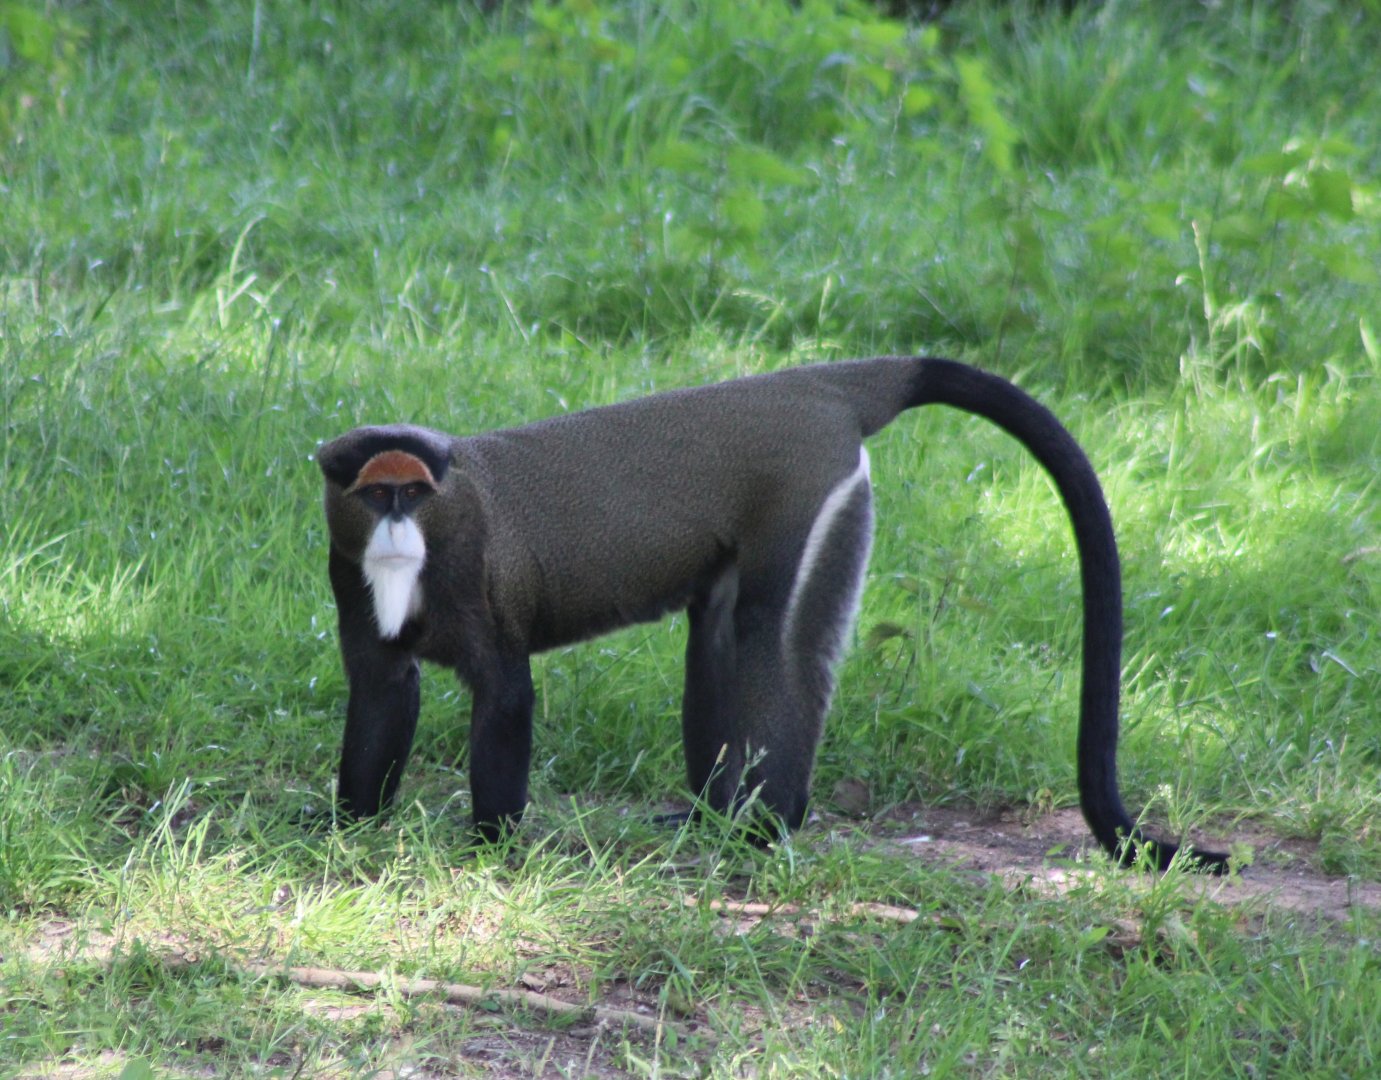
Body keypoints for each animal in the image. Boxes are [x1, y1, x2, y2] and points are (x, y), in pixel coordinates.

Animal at [318, 355, 1228, 873]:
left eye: (413, 494)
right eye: (373, 494)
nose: (395, 528)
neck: (441, 528)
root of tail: (811, 385)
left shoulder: (482, 591)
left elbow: (506, 697)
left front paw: (489, 851)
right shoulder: (348, 585)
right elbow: (383, 690)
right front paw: (346, 823)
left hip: (812, 504)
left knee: (773, 644)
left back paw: (758, 829)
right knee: (717, 635)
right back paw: (707, 816)